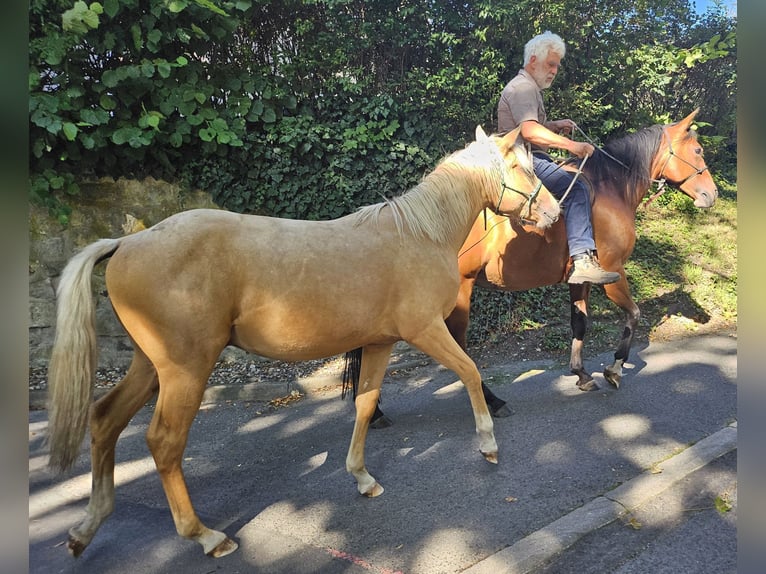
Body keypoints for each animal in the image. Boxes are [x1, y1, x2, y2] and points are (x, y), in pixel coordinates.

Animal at [45, 125, 560, 558]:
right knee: (164, 443)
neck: (417, 235)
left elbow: (365, 405)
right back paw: (206, 536)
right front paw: (488, 443)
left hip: (150, 367)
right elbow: (470, 371)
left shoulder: (379, 344)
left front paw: (362, 477)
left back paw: (86, 528)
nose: (554, 211)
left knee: (104, 420)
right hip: (184, 370)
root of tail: (126, 243)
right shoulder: (426, 330)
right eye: (522, 167)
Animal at [366, 108, 718, 425]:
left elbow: (579, 323)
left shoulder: (580, 278)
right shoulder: (613, 272)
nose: (711, 194)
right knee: (458, 347)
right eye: (698, 150)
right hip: (457, 293)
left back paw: (376, 412)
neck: (611, 189)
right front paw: (615, 369)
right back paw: (492, 401)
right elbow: (633, 314)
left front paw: (581, 373)